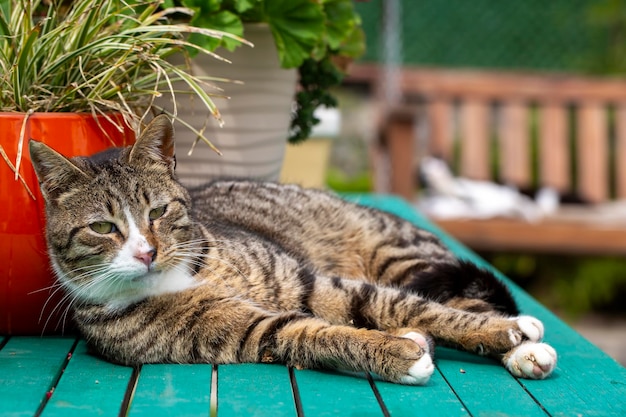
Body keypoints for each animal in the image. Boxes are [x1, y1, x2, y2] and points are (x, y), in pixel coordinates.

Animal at [29, 114, 556, 384]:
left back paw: (523, 343)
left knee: (452, 296)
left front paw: (503, 332)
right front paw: (400, 353)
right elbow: (317, 334)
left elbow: (406, 307)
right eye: (103, 227)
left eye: (157, 212)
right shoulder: (255, 331)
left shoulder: (310, 282)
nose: (147, 252)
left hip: (402, 256)